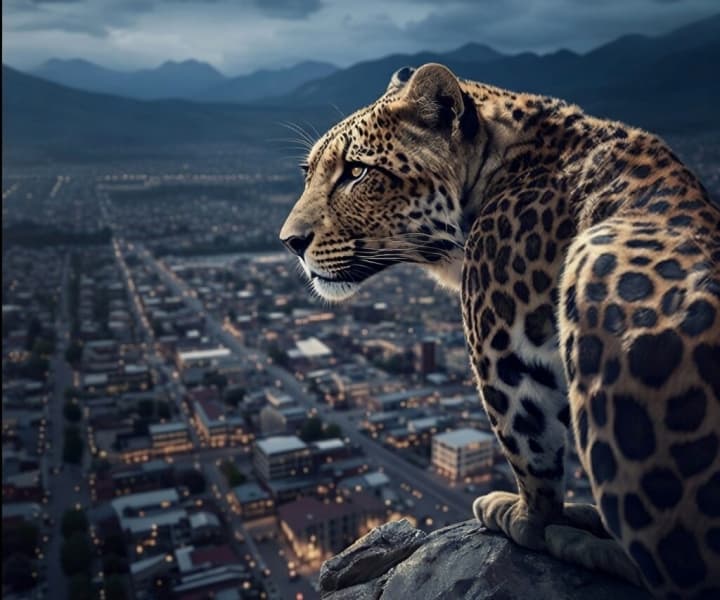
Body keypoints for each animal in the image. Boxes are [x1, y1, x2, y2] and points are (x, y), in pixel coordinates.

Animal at [279, 63, 720, 598]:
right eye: (309, 173)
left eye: (357, 172)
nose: (290, 242)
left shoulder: (502, 344)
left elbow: (529, 444)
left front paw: (528, 519)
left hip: (599, 260)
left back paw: (590, 543)